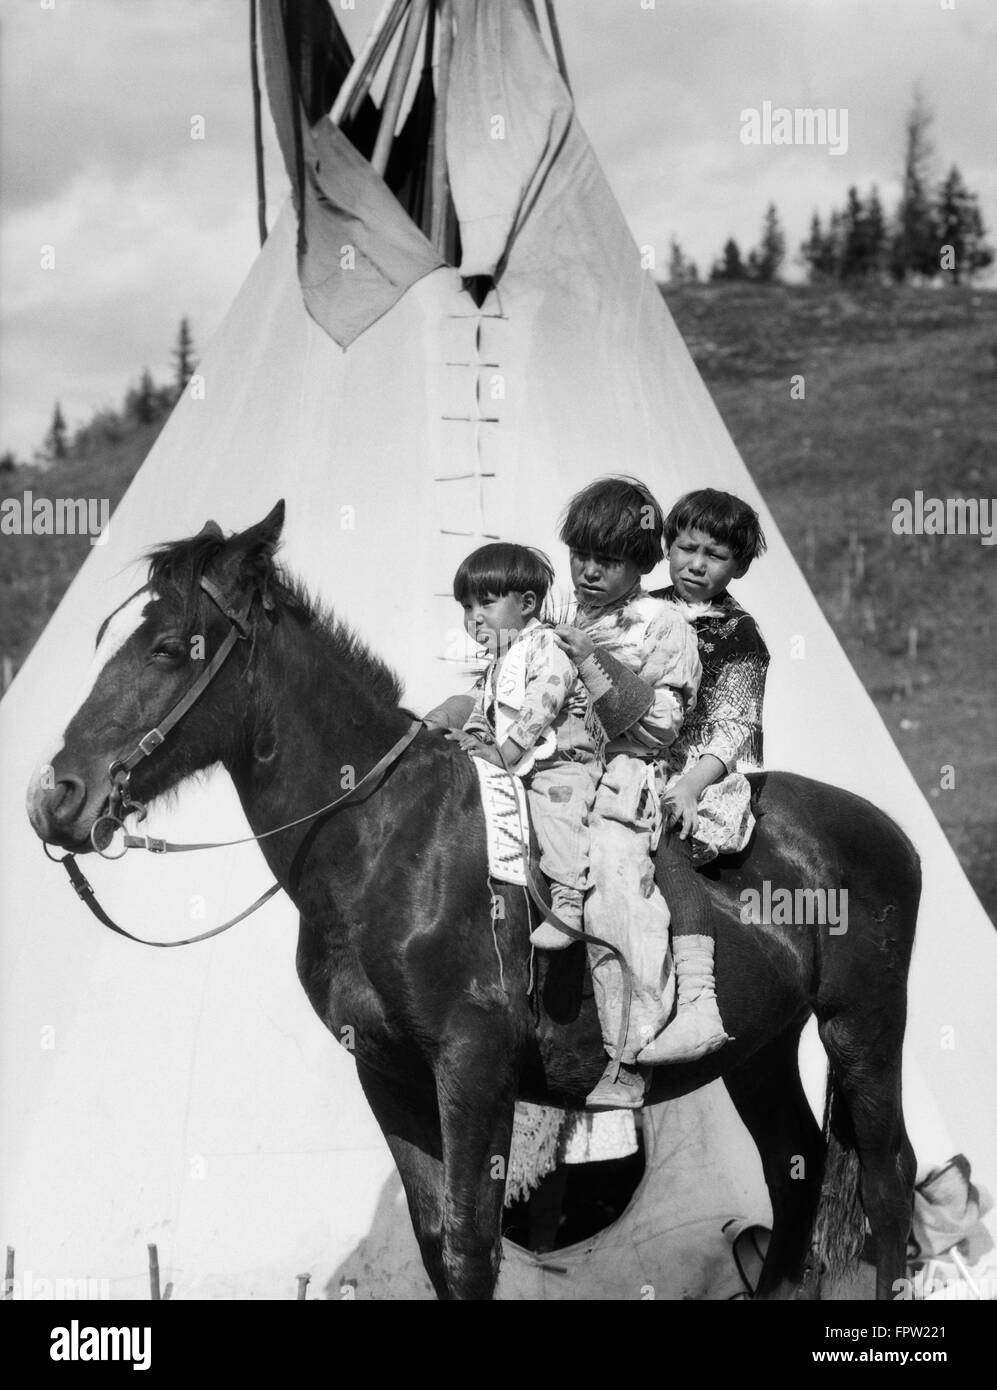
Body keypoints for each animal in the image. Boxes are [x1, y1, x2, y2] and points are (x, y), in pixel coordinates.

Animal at [25, 508, 917, 1301]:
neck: (386, 839)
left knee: (887, 1181)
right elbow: (436, 1247)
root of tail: (887, 834)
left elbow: (471, 1248)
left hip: (862, 1027)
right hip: (759, 1050)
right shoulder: (388, 1074)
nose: (56, 796)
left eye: (169, 647)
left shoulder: (473, 1067)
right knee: (793, 1169)